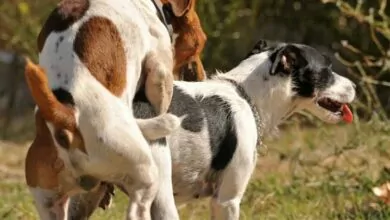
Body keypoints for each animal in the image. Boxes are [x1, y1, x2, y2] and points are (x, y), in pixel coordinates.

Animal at [23, 0, 207, 219]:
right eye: (201, 41)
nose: (203, 76)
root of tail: (64, 117)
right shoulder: (160, 70)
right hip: (144, 170)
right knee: (138, 209)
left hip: (49, 201)